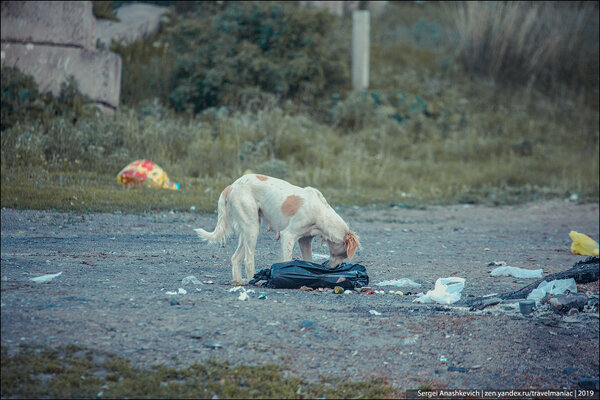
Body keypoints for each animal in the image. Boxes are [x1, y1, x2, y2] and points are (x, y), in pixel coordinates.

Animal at [195, 174, 360, 283]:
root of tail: (232, 185)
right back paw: (255, 281)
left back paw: (239, 282)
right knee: (248, 260)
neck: (321, 212)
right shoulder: (288, 236)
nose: (335, 268)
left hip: (246, 230)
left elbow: (308, 260)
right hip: (252, 227)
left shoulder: (305, 240)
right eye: (344, 254)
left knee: (236, 258)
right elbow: (287, 260)